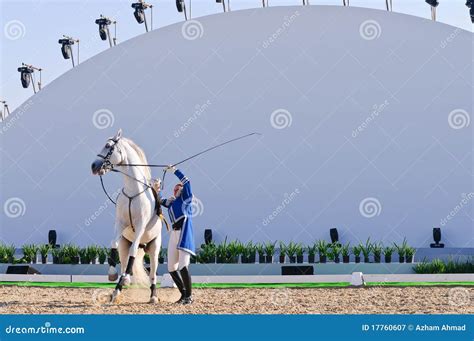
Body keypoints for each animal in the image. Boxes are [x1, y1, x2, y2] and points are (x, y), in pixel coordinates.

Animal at [91, 129, 164, 302]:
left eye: (108, 146)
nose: (94, 166)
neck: (133, 191)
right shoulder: (120, 224)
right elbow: (113, 244)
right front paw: (113, 275)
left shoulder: (140, 226)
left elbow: (133, 253)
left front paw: (119, 285)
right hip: (125, 244)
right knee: (124, 259)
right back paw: (121, 284)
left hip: (154, 248)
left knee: (152, 273)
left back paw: (153, 296)